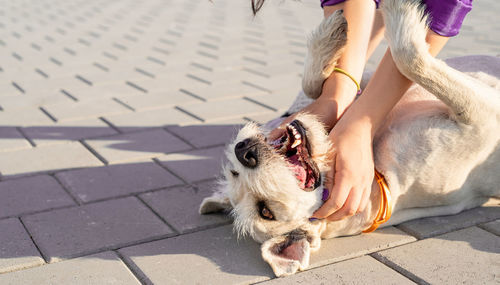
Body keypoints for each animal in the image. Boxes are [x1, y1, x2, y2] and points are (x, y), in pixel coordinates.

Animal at [197, 0, 498, 276]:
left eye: (233, 172)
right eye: (265, 212)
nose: (244, 151)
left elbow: (318, 86)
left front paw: (327, 40)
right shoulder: (482, 118)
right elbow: (411, 59)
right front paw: (399, 10)